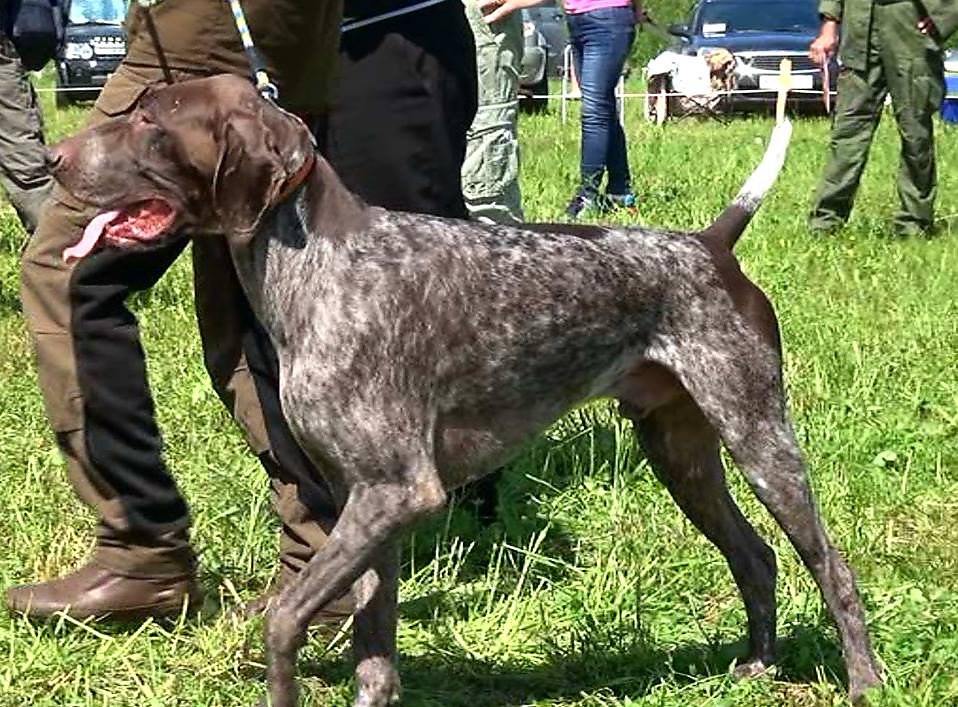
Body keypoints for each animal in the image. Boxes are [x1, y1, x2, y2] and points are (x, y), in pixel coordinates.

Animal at [51, 74, 881, 707]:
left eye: (151, 120)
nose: (53, 159)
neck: (320, 266)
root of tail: (710, 245)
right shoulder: (365, 502)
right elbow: (373, 646)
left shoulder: (396, 492)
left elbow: (285, 617)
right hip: (681, 454)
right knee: (756, 556)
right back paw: (759, 663)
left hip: (759, 436)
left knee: (831, 565)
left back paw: (864, 679)